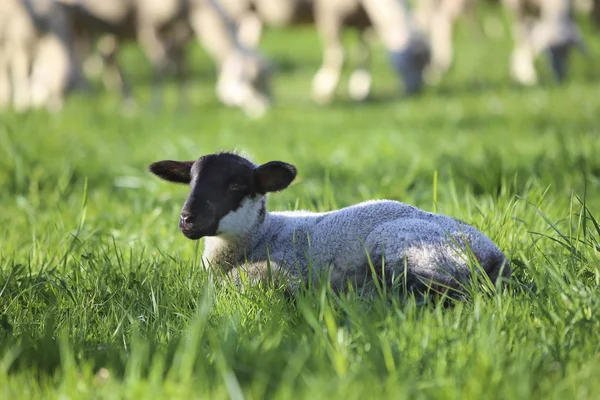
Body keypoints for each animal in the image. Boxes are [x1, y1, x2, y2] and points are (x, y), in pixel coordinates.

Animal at [148, 152, 508, 298]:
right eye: (191, 181)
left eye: (236, 186)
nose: (187, 220)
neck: (261, 236)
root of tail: (494, 256)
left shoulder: (281, 266)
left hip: (403, 244)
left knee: (442, 288)